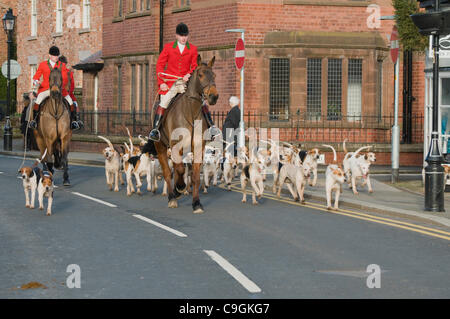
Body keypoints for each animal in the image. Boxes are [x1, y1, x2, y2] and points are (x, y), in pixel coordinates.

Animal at [149, 55, 219, 215]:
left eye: (214, 75)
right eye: (201, 75)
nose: (213, 96)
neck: (190, 112)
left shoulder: (198, 147)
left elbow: (195, 177)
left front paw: (196, 203)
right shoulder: (176, 146)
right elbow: (179, 170)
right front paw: (179, 188)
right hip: (161, 147)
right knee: (168, 172)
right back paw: (172, 196)